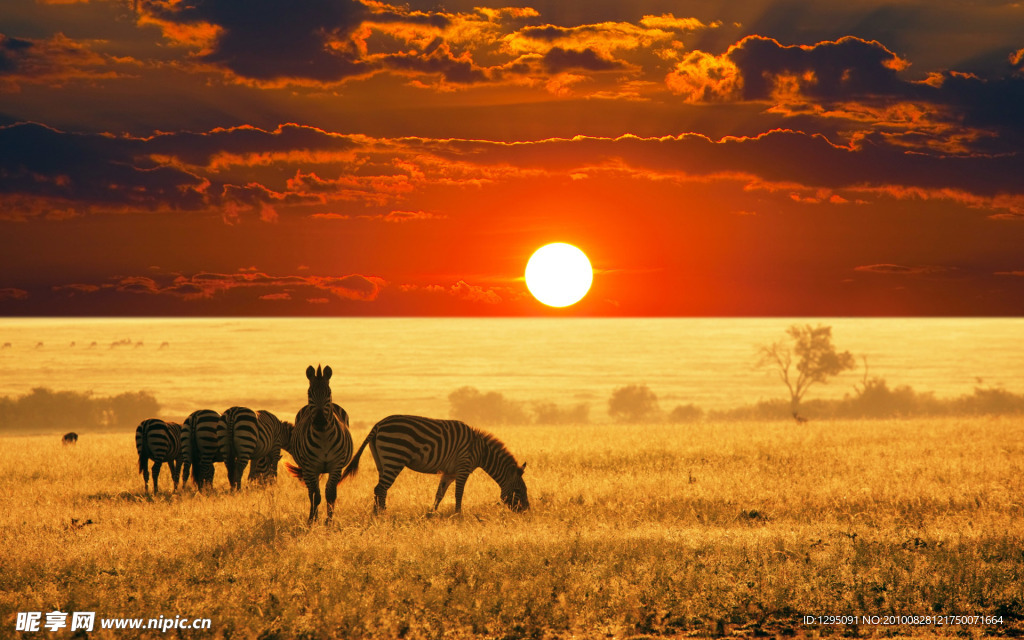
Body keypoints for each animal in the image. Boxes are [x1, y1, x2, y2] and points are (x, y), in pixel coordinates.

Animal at [286, 364, 354, 524]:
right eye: (309, 393)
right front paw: (312, 521)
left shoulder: (336, 465)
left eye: (328, 393)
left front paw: (329, 522)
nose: (320, 421)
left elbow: (330, 494)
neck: (323, 436)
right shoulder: (311, 467)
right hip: (308, 469)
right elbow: (316, 496)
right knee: (311, 492)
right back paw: (312, 517)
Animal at [342, 413, 532, 514]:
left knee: (379, 489)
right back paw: (382, 516)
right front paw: (458, 516)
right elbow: (459, 494)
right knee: (381, 488)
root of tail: (378, 424)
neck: (481, 451)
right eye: (519, 491)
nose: (527, 512)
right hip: (394, 457)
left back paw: (377, 515)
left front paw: (431, 514)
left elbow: (439, 494)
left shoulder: (450, 472)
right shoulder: (463, 467)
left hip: (382, 461)